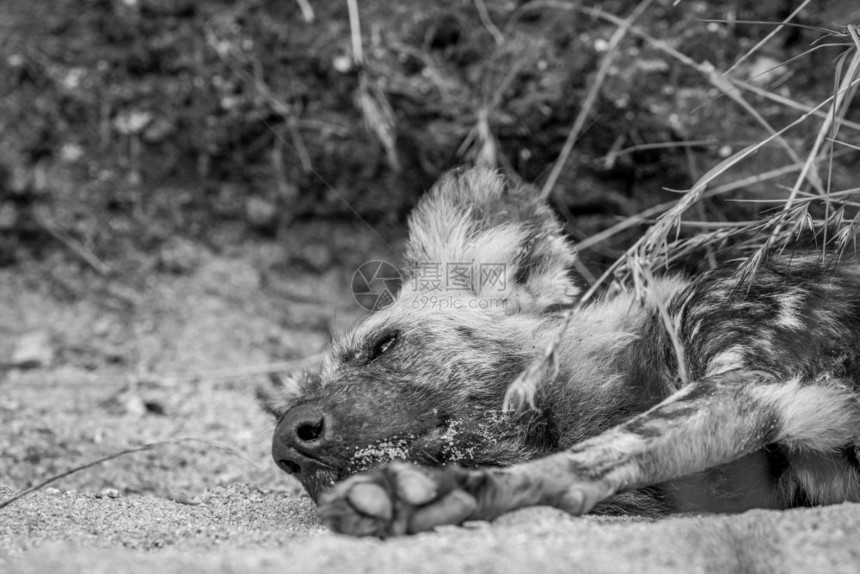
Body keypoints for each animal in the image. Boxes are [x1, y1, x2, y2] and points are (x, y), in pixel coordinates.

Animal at [262, 169, 860, 536]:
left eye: (382, 345)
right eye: (283, 411)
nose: (288, 439)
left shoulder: (744, 382)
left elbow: (590, 456)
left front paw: (430, 495)